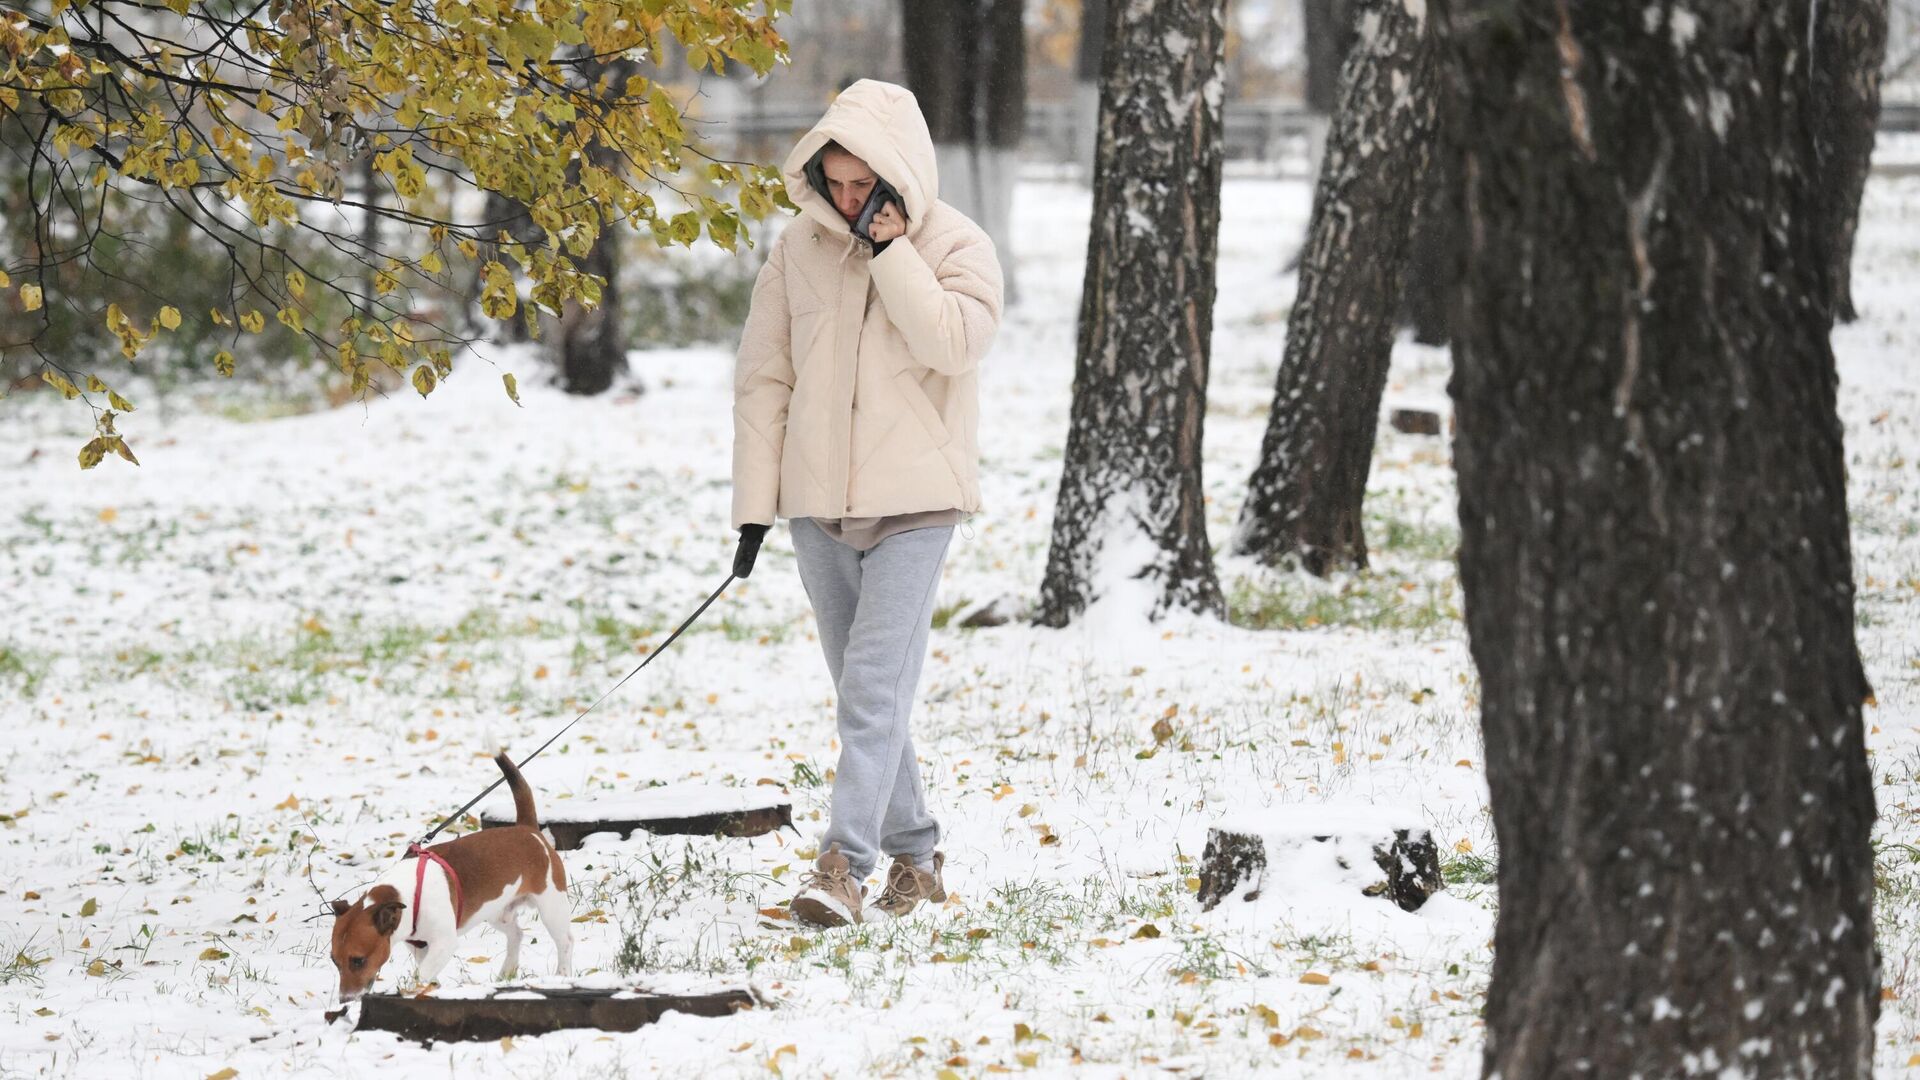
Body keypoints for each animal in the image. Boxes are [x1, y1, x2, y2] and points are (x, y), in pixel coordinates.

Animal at [326, 753, 568, 999]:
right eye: (334, 961)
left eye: (358, 960)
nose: (345, 1000)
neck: (409, 895)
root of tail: (527, 829)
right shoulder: (419, 945)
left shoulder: (444, 942)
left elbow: (422, 973)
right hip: (497, 912)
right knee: (516, 934)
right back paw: (507, 973)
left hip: (551, 905)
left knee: (565, 941)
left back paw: (562, 976)